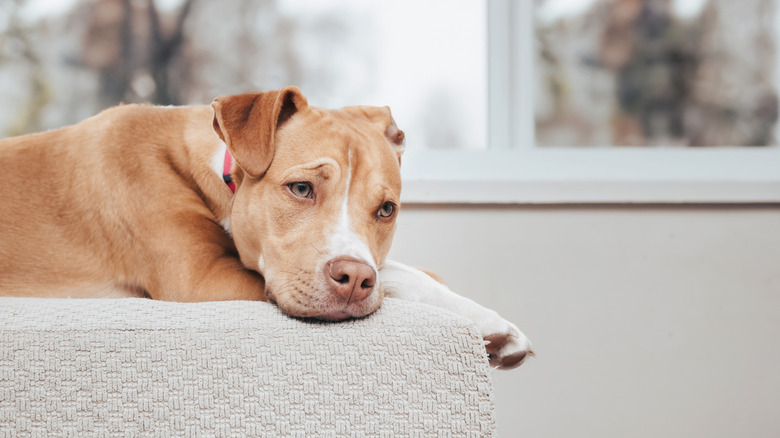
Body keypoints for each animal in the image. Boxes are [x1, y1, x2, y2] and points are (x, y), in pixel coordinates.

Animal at [0, 87, 532, 368]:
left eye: (386, 210)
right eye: (300, 189)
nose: (356, 280)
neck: (219, 168)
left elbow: (401, 269)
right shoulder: (200, 280)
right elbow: (397, 275)